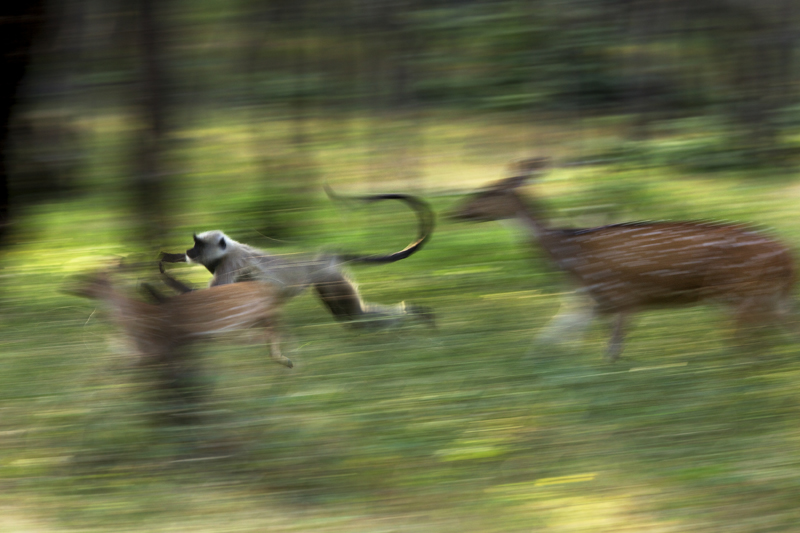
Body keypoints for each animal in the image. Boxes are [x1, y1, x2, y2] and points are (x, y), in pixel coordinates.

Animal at [155, 191, 432, 328]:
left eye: (198, 245)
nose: (189, 251)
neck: (230, 248)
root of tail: (323, 257)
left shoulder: (229, 263)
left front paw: (157, 290)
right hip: (328, 282)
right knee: (355, 318)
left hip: (330, 278)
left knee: (355, 317)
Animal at [454, 157, 796, 358]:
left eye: (488, 192)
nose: (456, 212)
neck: (570, 256)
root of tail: (788, 254)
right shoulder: (593, 300)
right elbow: (551, 337)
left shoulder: (622, 296)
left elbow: (611, 350)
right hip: (758, 294)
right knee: (776, 329)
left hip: (741, 291)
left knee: (752, 336)